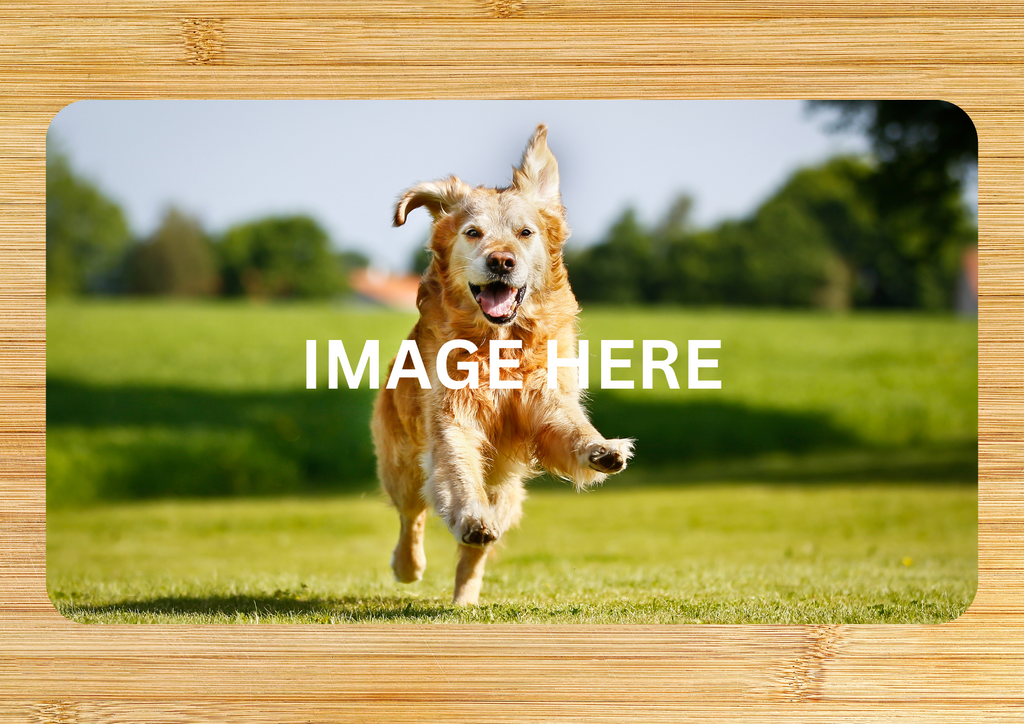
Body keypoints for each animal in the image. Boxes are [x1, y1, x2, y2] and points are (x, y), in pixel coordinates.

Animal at [376, 124, 630, 606]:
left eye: (525, 232)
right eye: (473, 232)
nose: (501, 260)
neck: (499, 346)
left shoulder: (543, 399)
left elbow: (571, 426)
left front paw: (601, 448)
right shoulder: (451, 419)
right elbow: (459, 472)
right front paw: (471, 517)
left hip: (509, 492)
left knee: (474, 552)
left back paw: (465, 600)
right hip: (402, 465)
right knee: (410, 516)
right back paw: (407, 565)